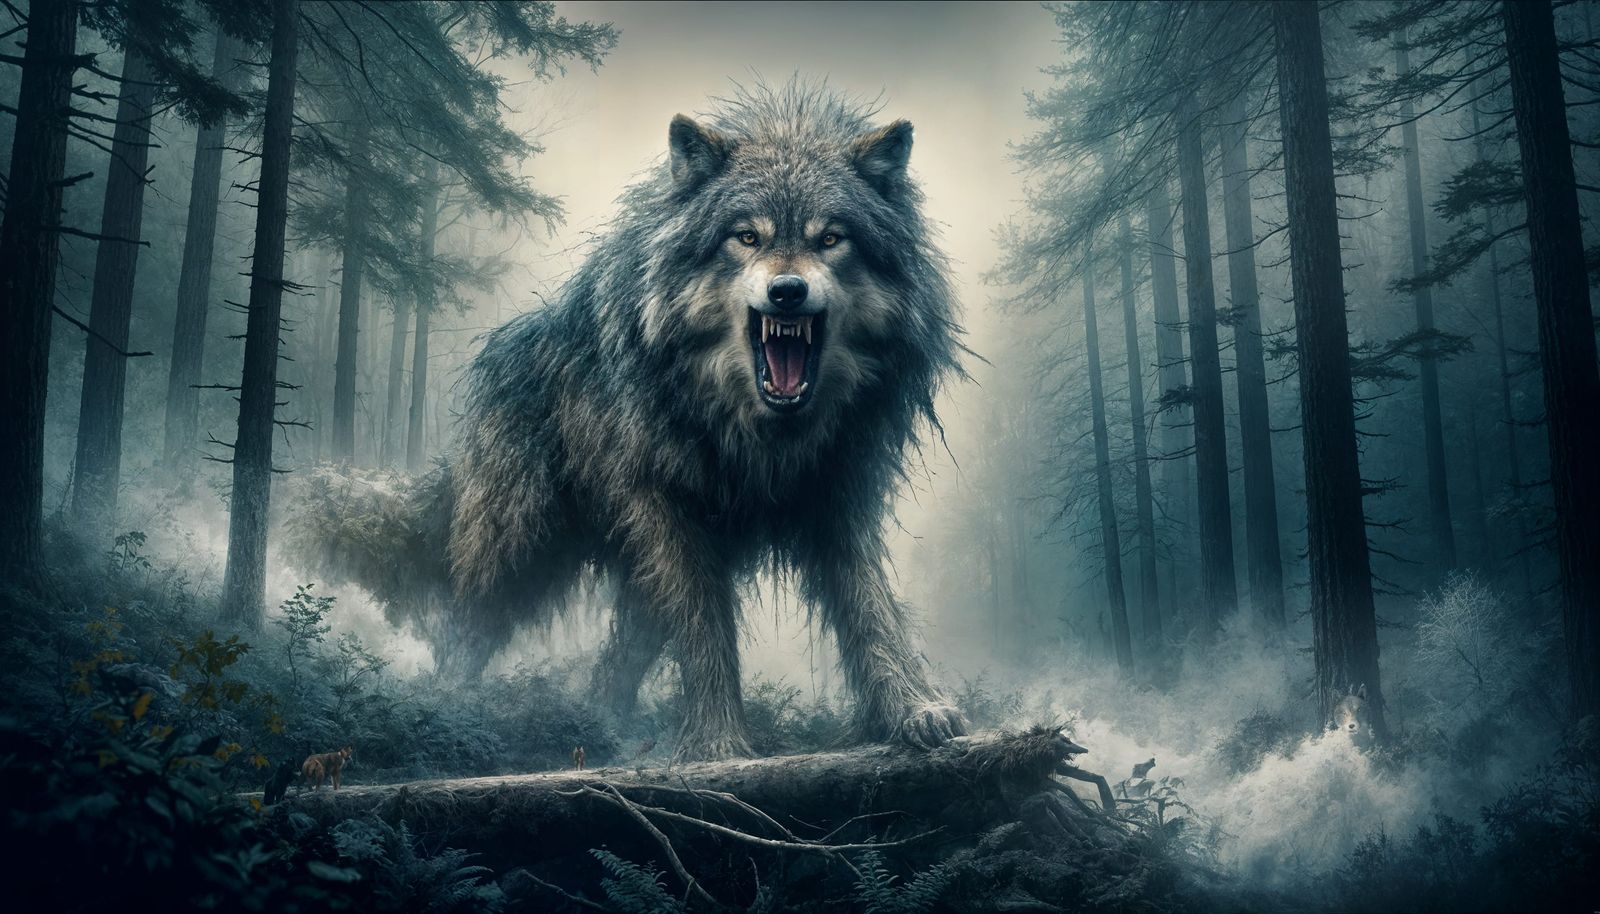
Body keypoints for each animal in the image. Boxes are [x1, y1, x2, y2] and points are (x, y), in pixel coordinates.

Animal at [295, 84, 968, 760]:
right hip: (522, 547)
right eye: (746, 237)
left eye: (831, 239)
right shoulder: (670, 509)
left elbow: (870, 609)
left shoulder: (837, 495)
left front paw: (914, 710)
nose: (787, 291)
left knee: (619, 658)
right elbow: (704, 628)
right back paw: (448, 712)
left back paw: (600, 724)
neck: (760, 435)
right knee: (466, 629)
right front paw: (717, 742)